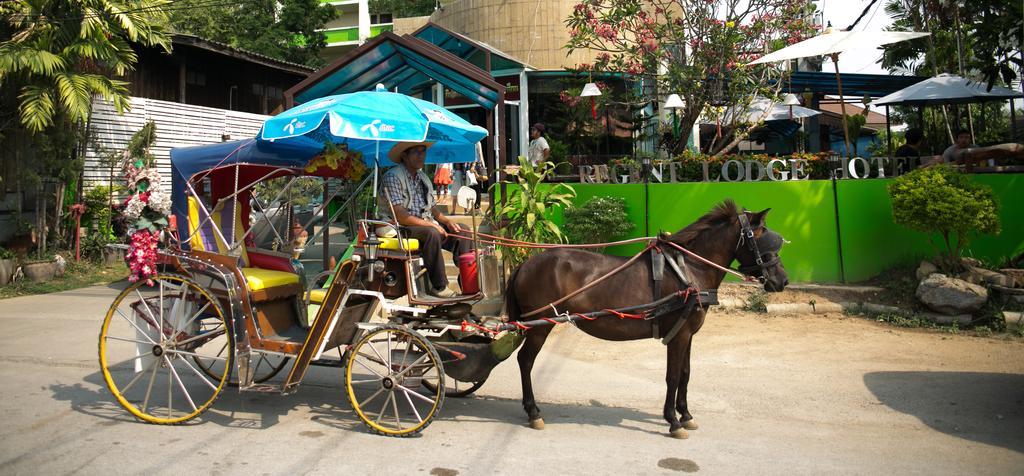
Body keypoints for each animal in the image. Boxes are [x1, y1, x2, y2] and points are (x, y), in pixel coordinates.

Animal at [505, 200, 790, 438]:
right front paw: (673, 421)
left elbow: (685, 373)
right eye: (763, 239)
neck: (689, 269)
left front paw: (686, 415)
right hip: (540, 326)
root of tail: (524, 264)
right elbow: (672, 376)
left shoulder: (687, 333)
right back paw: (533, 411)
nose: (783, 281)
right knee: (525, 360)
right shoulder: (679, 335)